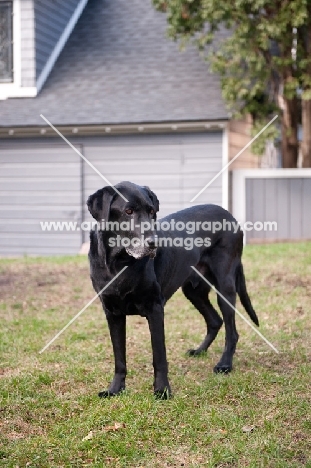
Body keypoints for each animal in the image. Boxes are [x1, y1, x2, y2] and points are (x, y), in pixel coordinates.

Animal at [87, 181, 258, 396]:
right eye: (128, 211)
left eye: (151, 211)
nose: (154, 243)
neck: (118, 262)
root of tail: (230, 216)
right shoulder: (112, 313)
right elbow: (119, 357)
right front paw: (115, 389)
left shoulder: (155, 309)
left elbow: (159, 356)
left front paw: (162, 390)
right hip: (193, 291)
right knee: (215, 320)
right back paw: (199, 351)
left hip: (225, 286)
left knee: (231, 331)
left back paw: (224, 364)